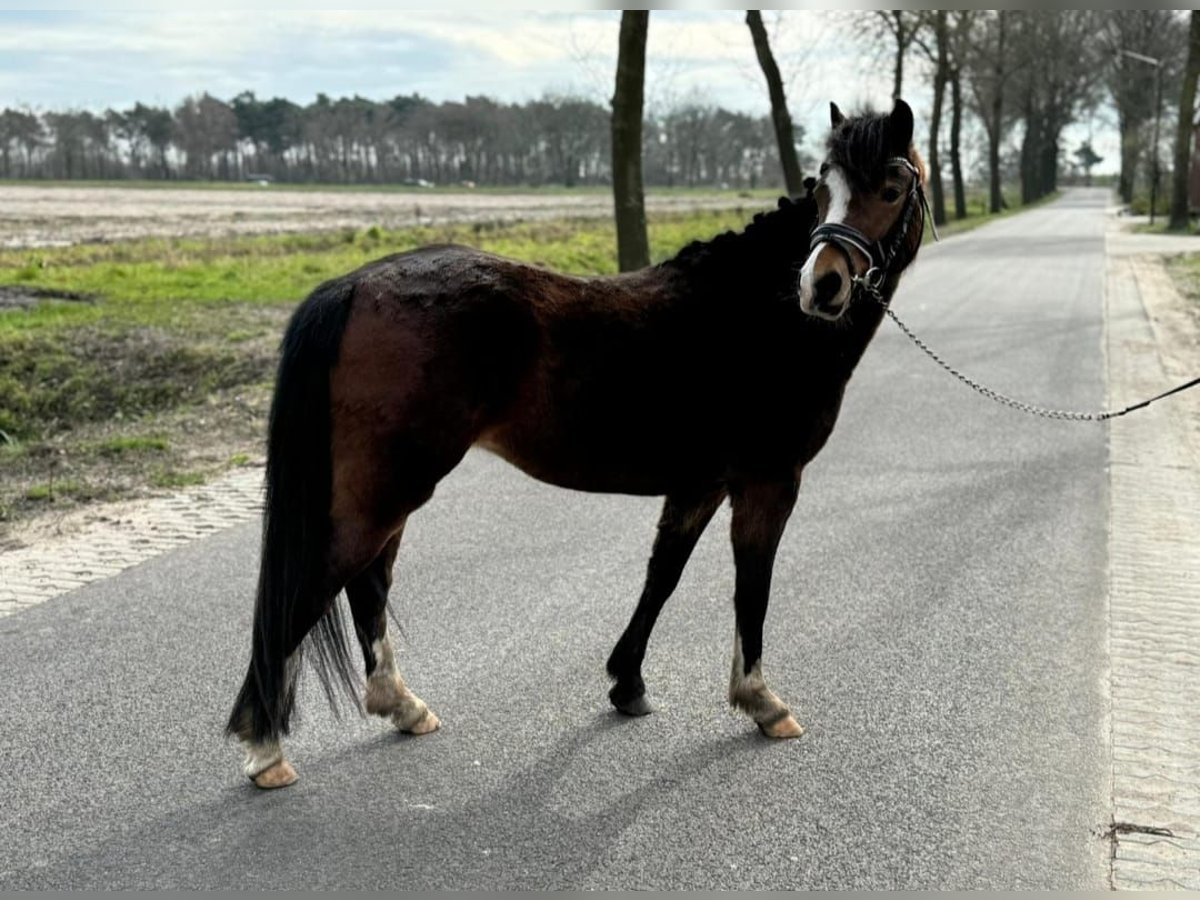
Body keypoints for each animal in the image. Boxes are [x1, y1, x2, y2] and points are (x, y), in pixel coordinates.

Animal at [229, 97, 931, 787]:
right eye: (824, 189)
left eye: (891, 188)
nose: (822, 285)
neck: (755, 317)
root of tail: (352, 286)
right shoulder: (767, 483)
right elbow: (750, 587)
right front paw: (760, 701)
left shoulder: (700, 483)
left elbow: (663, 576)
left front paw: (628, 684)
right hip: (388, 488)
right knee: (316, 587)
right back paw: (266, 748)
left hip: (389, 490)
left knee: (367, 586)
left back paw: (400, 706)